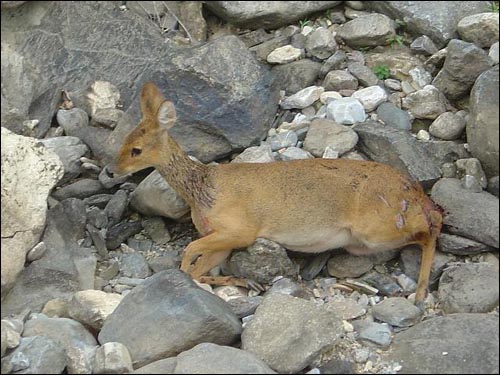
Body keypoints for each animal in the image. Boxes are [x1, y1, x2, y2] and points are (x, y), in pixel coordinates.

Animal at [108, 83, 442, 306]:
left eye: (136, 149)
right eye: (122, 142)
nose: (111, 171)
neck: (202, 189)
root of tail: (412, 189)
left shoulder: (240, 229)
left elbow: (190, 254)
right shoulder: (223, 239)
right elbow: (199, 269)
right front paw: (242, 280)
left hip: (376, 228)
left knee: (431, 226)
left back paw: (420, 291)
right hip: (362, 242)